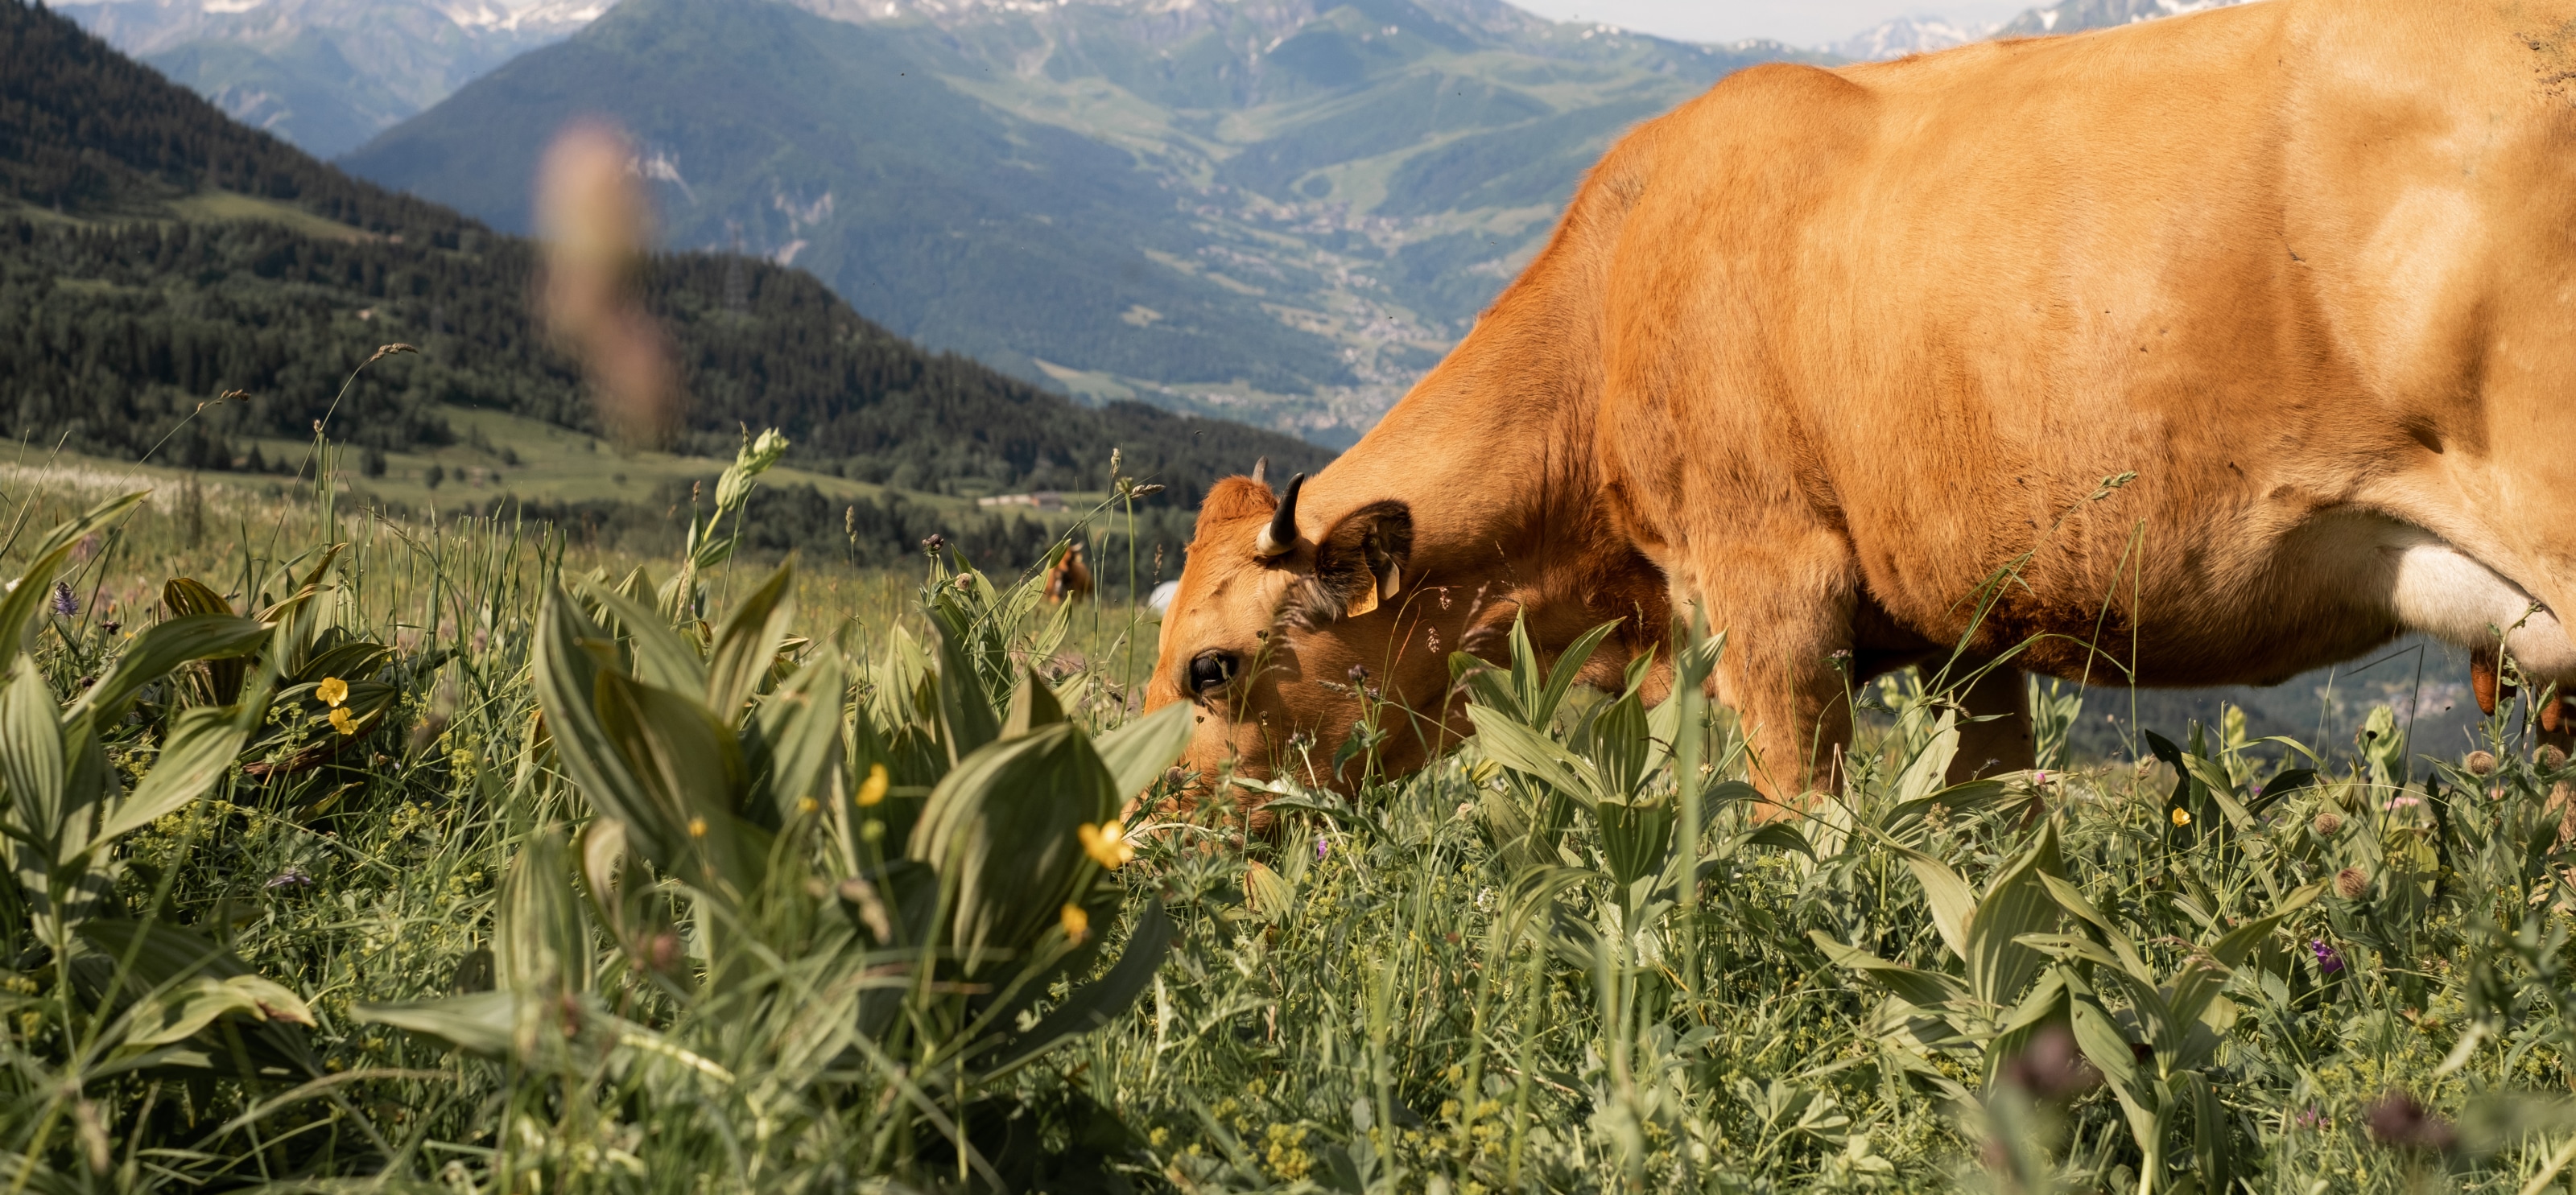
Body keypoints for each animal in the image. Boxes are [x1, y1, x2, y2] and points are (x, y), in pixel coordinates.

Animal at [1145, 0, 2576, 815]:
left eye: (1210, 665)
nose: (1153, 824)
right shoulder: (1967, 627)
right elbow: (1995, 834)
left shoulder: (1764, 580)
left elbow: (1803, 830)